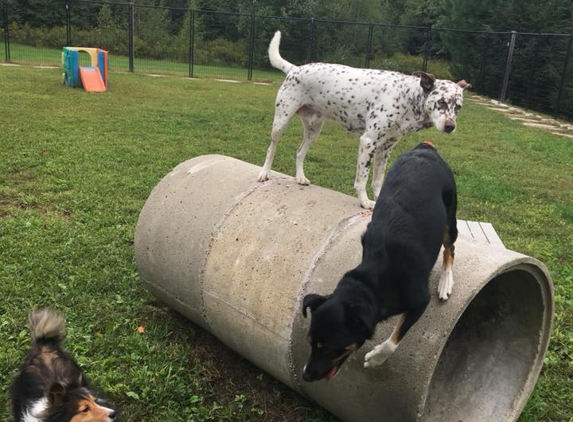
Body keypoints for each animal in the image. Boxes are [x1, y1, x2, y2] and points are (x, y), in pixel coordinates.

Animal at [300, 142, 456, 382]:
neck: (371, 281)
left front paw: (375, 358)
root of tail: (425, 148)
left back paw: (446, 281)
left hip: (450, 215)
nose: (306, 375)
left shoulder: (420, 300)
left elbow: (393, 341)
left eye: (328, 349)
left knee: (450, 248)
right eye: (310, 343)